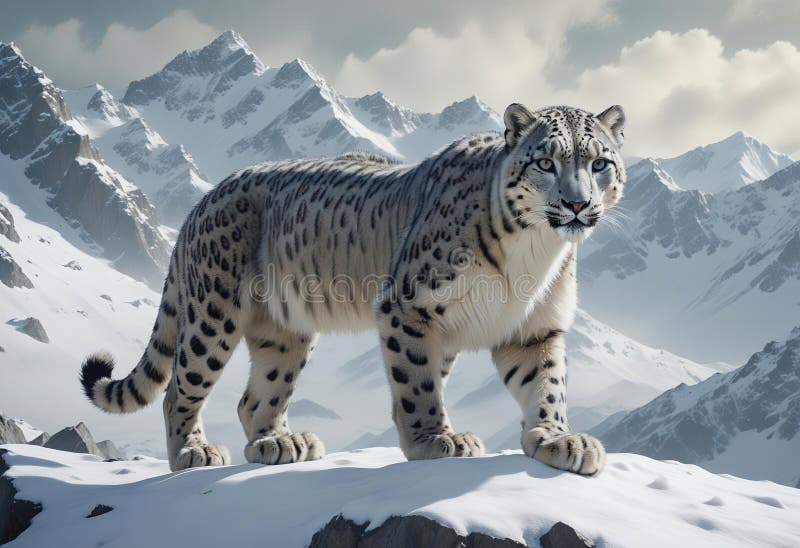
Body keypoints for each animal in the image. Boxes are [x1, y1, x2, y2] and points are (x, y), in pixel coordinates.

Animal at [80, 103, 627, 474]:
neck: (535, 254)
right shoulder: (408, 305)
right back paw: (194, 452)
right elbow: (417, 383)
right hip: (212, 314)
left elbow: (546, 386)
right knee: (180, 388)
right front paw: (434, 440)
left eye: (599, 163)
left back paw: (279, 445)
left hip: (285, 333)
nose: (577, 204)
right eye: (546, 162)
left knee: (256, 396)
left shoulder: (534, 328)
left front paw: (559, 440)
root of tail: (201, 201)